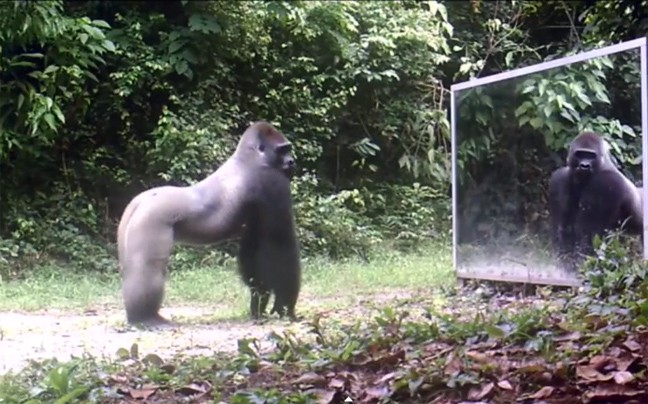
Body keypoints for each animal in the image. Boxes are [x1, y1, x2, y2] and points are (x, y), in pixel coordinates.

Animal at [117, 121, 302, 326]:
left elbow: (253, 254)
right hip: (150, 219)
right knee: (149, 268)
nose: (292, 161)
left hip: (130, 219)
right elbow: (282, 248)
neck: (250, 158)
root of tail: (140, 201)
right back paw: (145, 317)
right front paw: (285, 307)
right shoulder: (274, 183)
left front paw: (260, 302)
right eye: (282, 150)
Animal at [548, 133, 644, 272]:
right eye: (580, 154)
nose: (584, 166)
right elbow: (562, 229)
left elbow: (588, 234)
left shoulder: (606, 183)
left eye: (591, 156)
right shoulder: (560, 179)